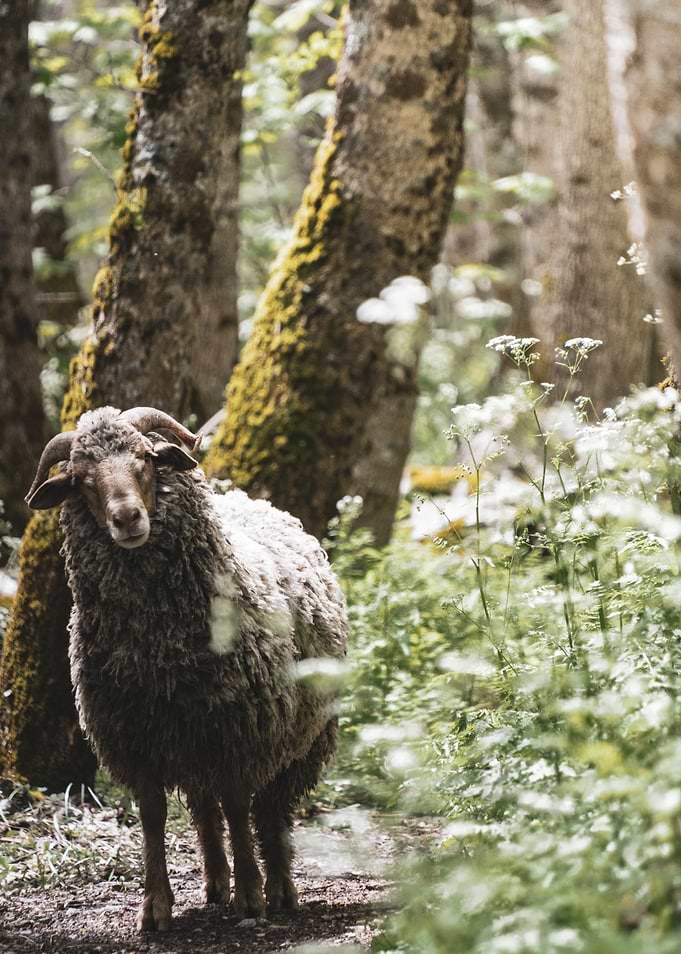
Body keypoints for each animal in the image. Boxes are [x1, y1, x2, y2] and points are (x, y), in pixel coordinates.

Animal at [25, 406, 348, 932]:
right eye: (81, 479)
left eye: (145, 459)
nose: (127, 518)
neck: (161, 651)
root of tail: (247, 500)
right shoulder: (138, 738)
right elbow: (154, 816)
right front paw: (155, 906)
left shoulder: (239, 731)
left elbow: (238, 806)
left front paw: (251, 895)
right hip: (191, 740)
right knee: (203, 808)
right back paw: (215, 882)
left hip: (304, 738)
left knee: (272, 810)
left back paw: (279, 886)